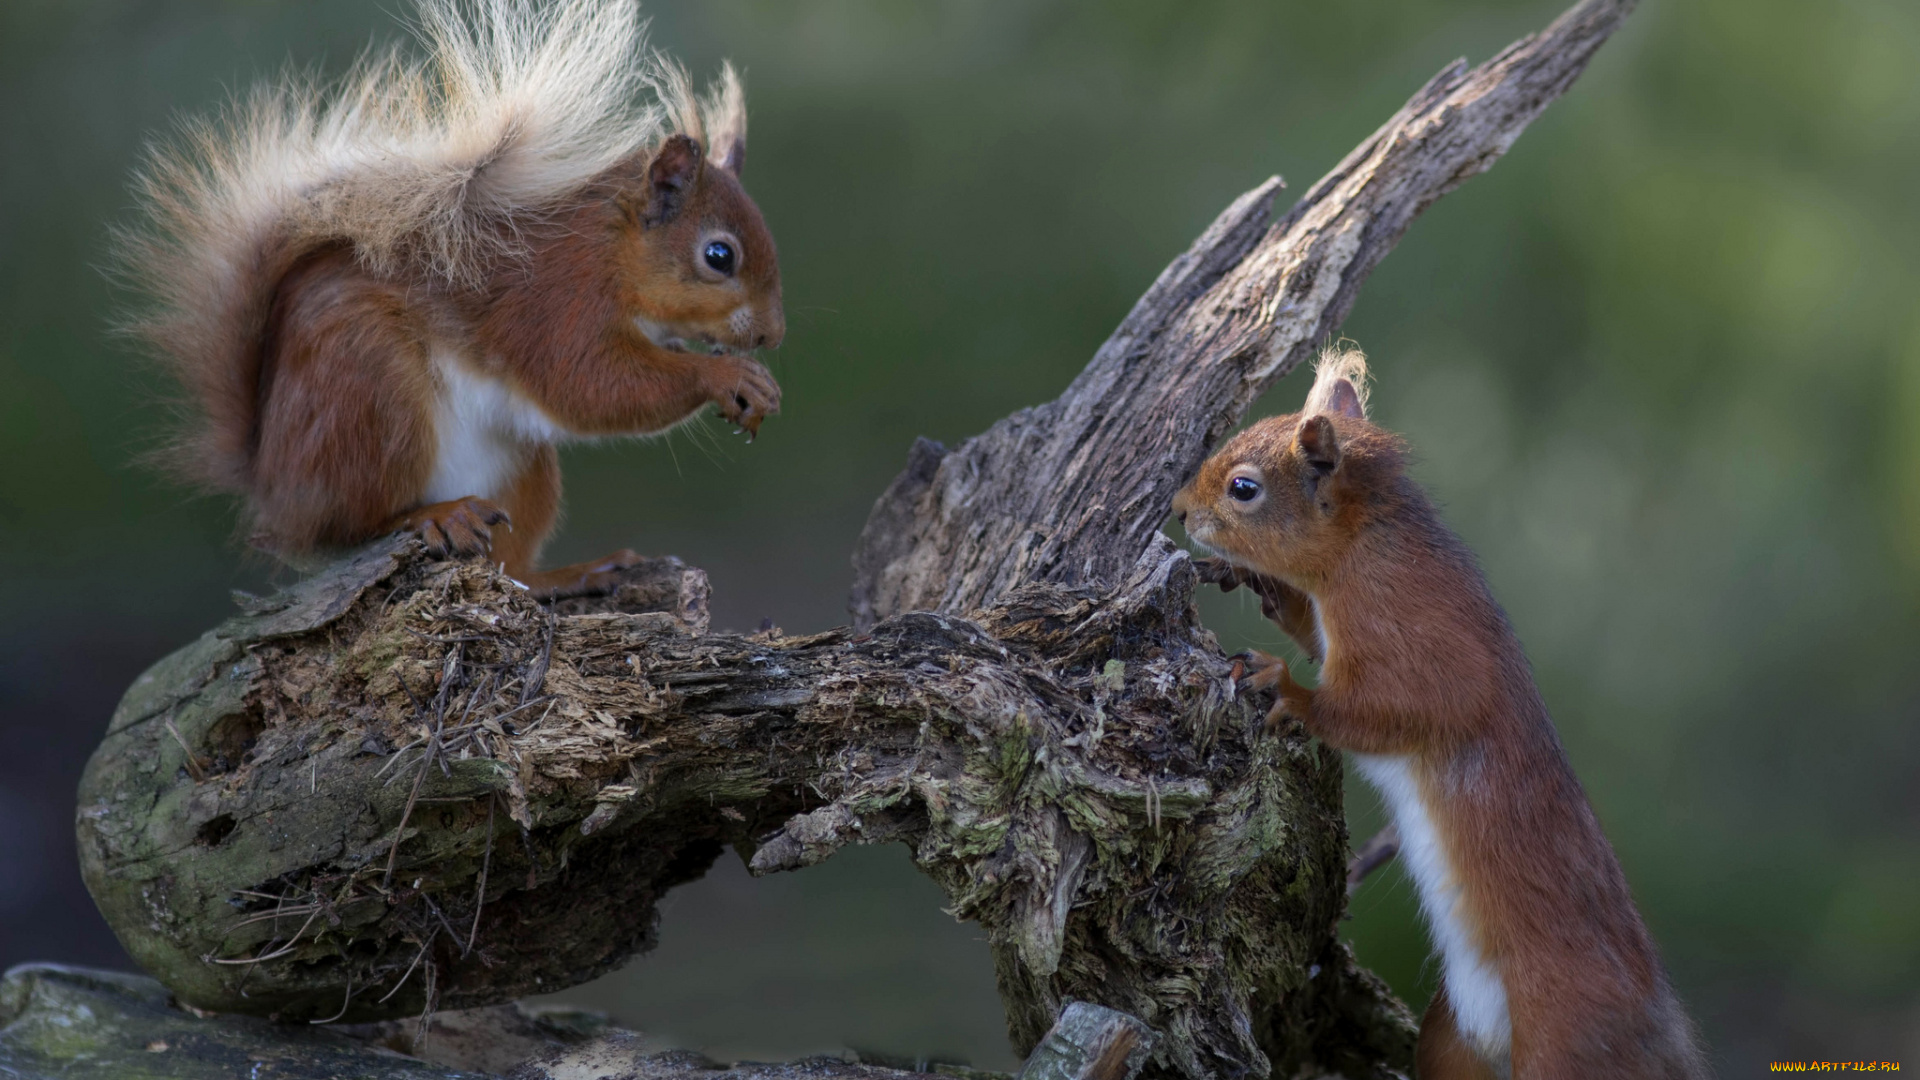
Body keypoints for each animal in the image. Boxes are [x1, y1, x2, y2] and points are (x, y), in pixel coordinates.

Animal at [116, 0, 779, 591]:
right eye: (719, 256)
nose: (772, 335)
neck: (611, 254)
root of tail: (273, 486)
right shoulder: (556, 304)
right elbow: (591, 386)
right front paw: (727, 378)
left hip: (520, 464)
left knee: (511, 569)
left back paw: (569, 576)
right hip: (372, 394)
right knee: (351, 527)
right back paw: (433, 516)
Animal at [1167, 351, 1712, 1076]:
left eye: (1243, 489)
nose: (1177, 511)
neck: (1363, 547)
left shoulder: (1414, 642)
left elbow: (1391, 711)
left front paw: (1284, 686)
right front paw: (1262, 588)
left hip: (1563, 1040)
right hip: (1451, 1039)